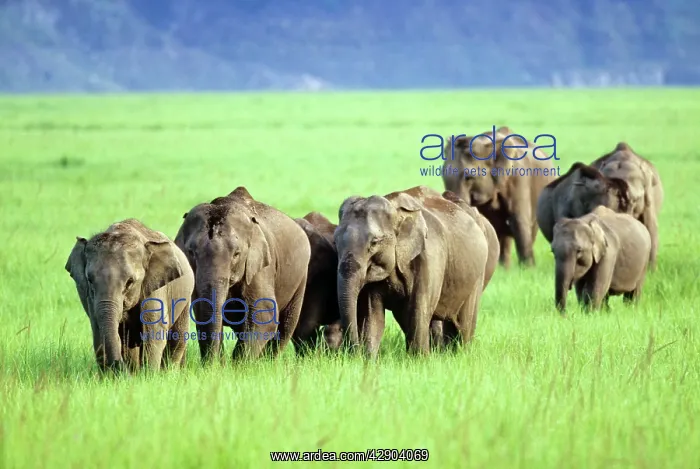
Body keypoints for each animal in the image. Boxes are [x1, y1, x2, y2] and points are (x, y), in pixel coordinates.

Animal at [64, 219, 194, 373]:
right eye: (90, 280)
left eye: (130, 282)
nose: (118, 366)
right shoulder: (89, 297)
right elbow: (98, 331)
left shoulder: (155, 287)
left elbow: (154, 331)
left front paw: (149, 375)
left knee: (177, 336)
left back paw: (168, 372)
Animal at [174, 186, 310, 363]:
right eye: (191, 253)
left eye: (236, 254)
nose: (212, 365)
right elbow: (202, 312)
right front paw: (217, 366)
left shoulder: (259, 267)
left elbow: (264, 314)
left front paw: (239, 366)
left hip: (301, 277)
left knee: (286, 326)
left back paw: (267, 363)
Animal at [334, 185, 489, 357]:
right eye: (335, 242)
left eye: (374, 242)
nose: (353, 352)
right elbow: (373, 314)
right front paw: (369, 360)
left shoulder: (429, 257)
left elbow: (418, 309)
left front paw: (419, 359)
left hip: (477, 274)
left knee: (464, 323)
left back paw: (459, 354)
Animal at [442, 126, 558, 268]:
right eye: (442, 175)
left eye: (469, 177)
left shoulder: (519, 179)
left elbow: (519, 222)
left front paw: (528, 269)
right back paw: (504, 267)